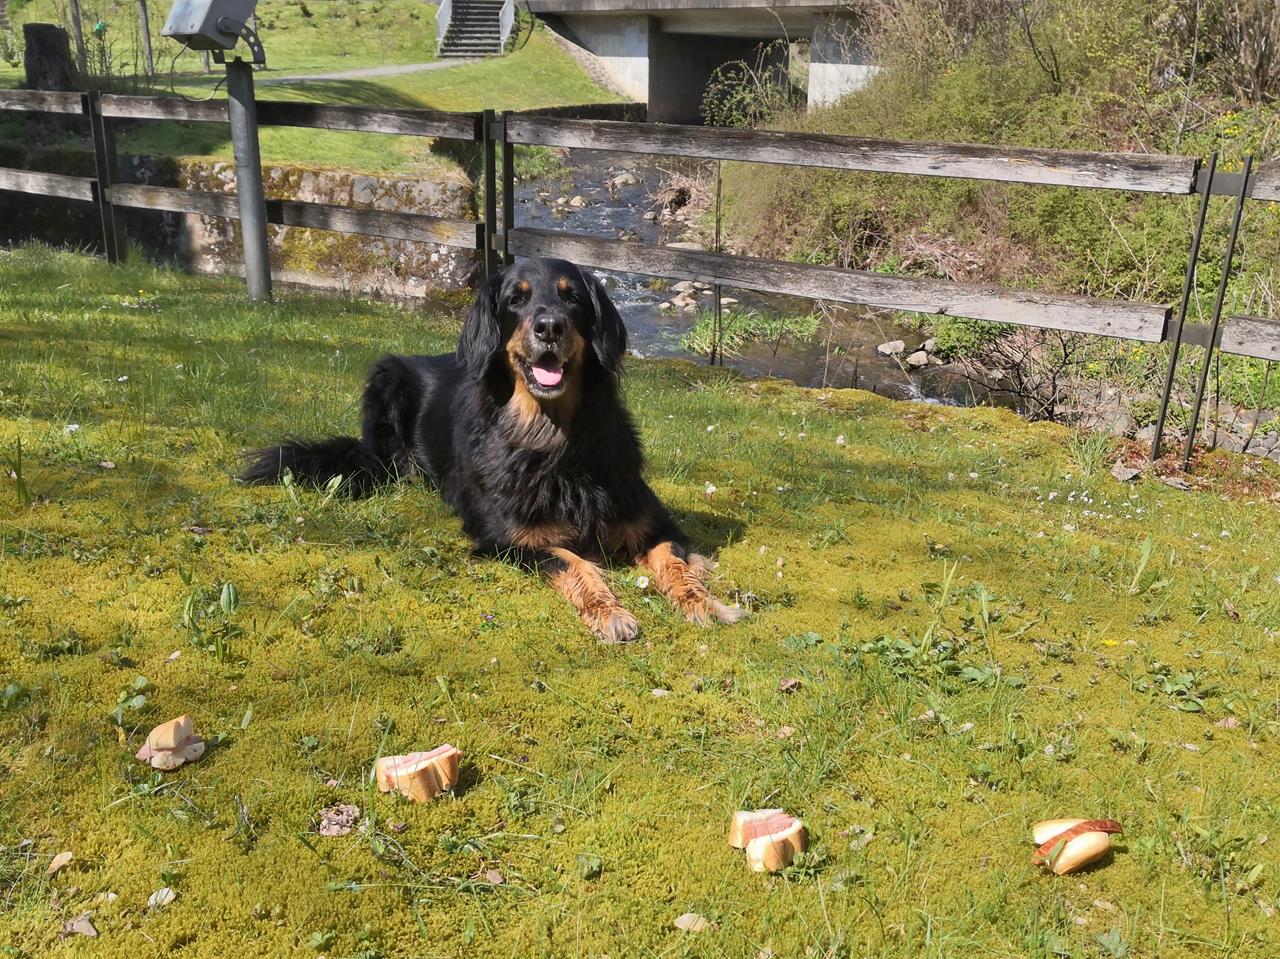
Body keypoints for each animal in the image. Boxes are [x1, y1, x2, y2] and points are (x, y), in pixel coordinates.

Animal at [242, 257, 743, 642]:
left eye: (573, 298)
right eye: (515, 299)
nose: (549, 326)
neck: (553, 440)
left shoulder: (656, 523)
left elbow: (673, 563)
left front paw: (706, 604)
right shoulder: (510, 540)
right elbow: (573, 562)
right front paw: (610, 613)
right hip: (386, 377)